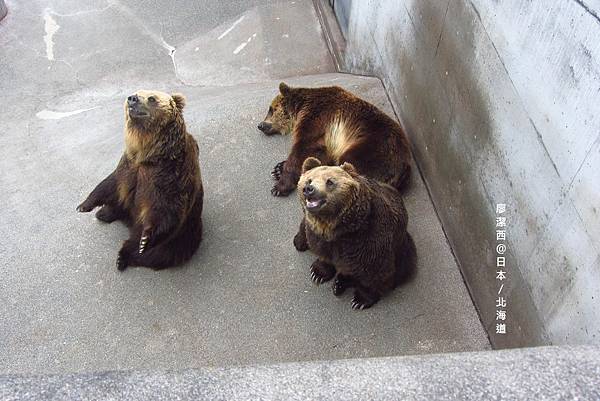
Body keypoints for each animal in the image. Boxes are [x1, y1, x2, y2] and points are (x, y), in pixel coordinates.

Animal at [77, 89, 204, 270]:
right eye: (136, 92)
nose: (132, 98)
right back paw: (104, 213)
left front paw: (145, 240)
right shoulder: (128, 167)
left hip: (182, 237)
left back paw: (123, 258)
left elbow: (166, 209)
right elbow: (109, 184)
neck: (149, 155)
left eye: (151, 98)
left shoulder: (169, 177)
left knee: (157, 253)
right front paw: (83, 206)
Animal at [258, 82, 412, 197]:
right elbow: (318, 152)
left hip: (373, 147)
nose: (260, 125)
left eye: (271, 109)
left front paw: (279, 186)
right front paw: (277, 169)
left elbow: (306, 147)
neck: (301, 106)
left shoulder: (317, 116)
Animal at [292, 156, 414, 310]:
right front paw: (318, 273)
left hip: (403, 248)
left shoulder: (369, 239)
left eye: (330, 181)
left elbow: (374, 271)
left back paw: (340, 284)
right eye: (309, 180)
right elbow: (323, 254)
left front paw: (360, 300)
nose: (309, 189)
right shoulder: (318, 235)